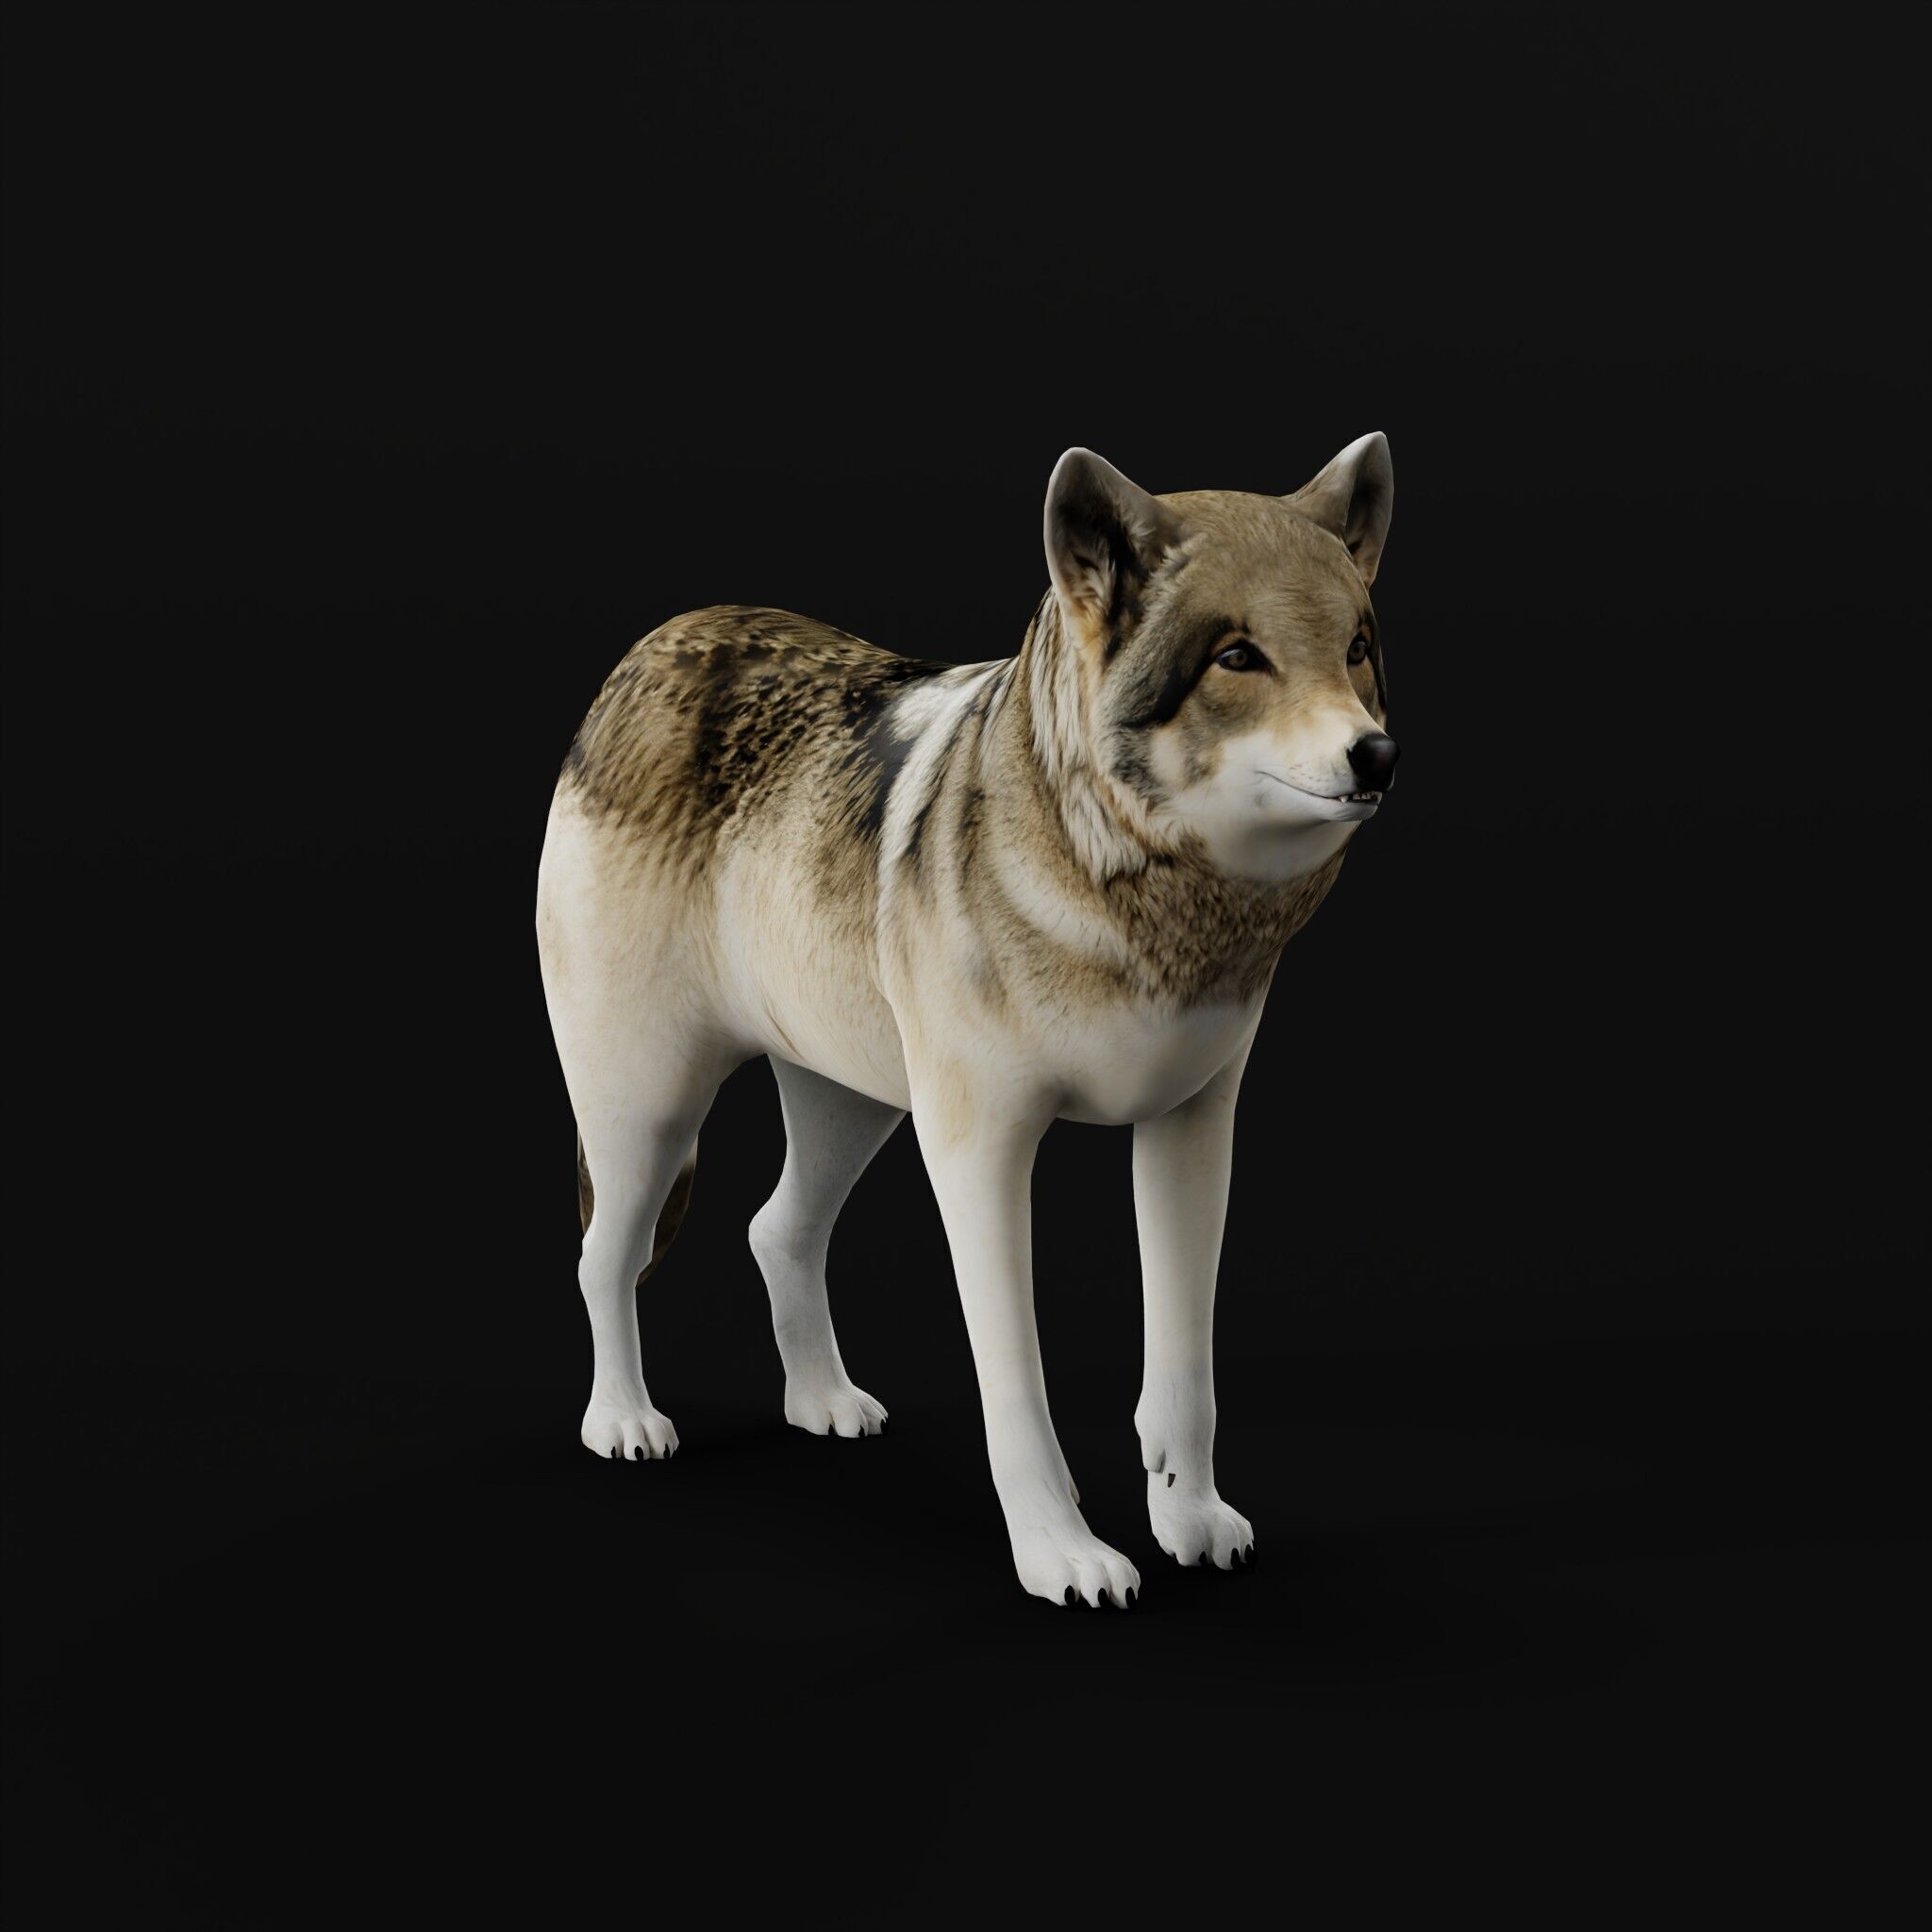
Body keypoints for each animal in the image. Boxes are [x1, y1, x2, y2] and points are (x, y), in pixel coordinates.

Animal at [536, 434, 1398, 1607]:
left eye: (1355, 648)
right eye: (1236, 656)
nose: (1375, 754)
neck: (1141, 907)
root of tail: (651, 648)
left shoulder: (1191, 1131)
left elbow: (1184, 1366)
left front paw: (1189, 1519)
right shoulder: (979, 1152)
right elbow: (1015, 1384)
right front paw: (1063, 1555)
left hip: (852, 1105)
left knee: (774, 1227)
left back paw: (823, 1403)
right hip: (649, 1115)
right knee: (602, 1255)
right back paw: (623, 1419)